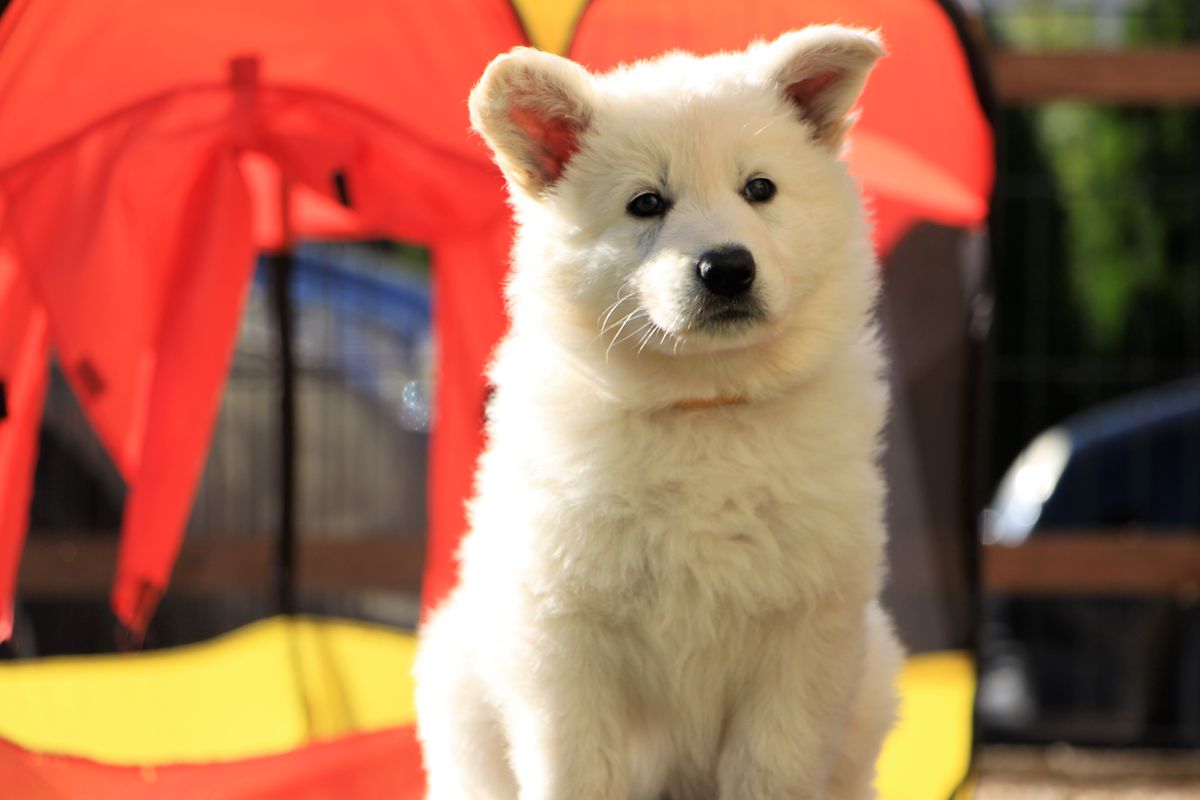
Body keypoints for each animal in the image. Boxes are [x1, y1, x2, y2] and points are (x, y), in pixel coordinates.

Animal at [417, 25, 902, 800]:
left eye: (759, 189)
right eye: (646, 203)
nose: (727, 267)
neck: (702, 406)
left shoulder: (805, 633)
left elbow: (772, 766)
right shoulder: (565, 640)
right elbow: (578, 772)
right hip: (459, 690)